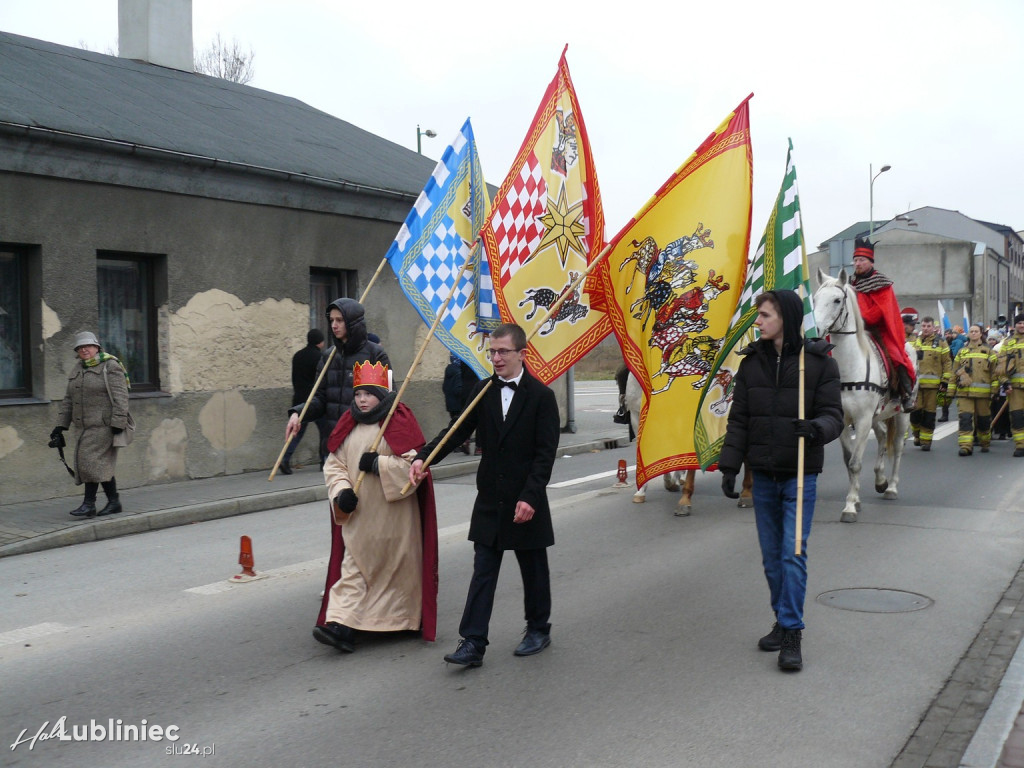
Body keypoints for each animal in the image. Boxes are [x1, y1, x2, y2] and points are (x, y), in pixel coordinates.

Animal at [815, 268, 913, 528]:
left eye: (837, 300)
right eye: (815, 299)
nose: (816, 332)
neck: (849, 368)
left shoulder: (861, 420)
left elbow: (856, 463)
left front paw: (849, 507)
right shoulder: (844, 421)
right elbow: (849, 460)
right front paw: (855, 500)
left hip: (901, 416)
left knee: (897, 446)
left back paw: (891, 487)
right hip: (877, 416)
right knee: (881, 436)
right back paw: (880, 479)